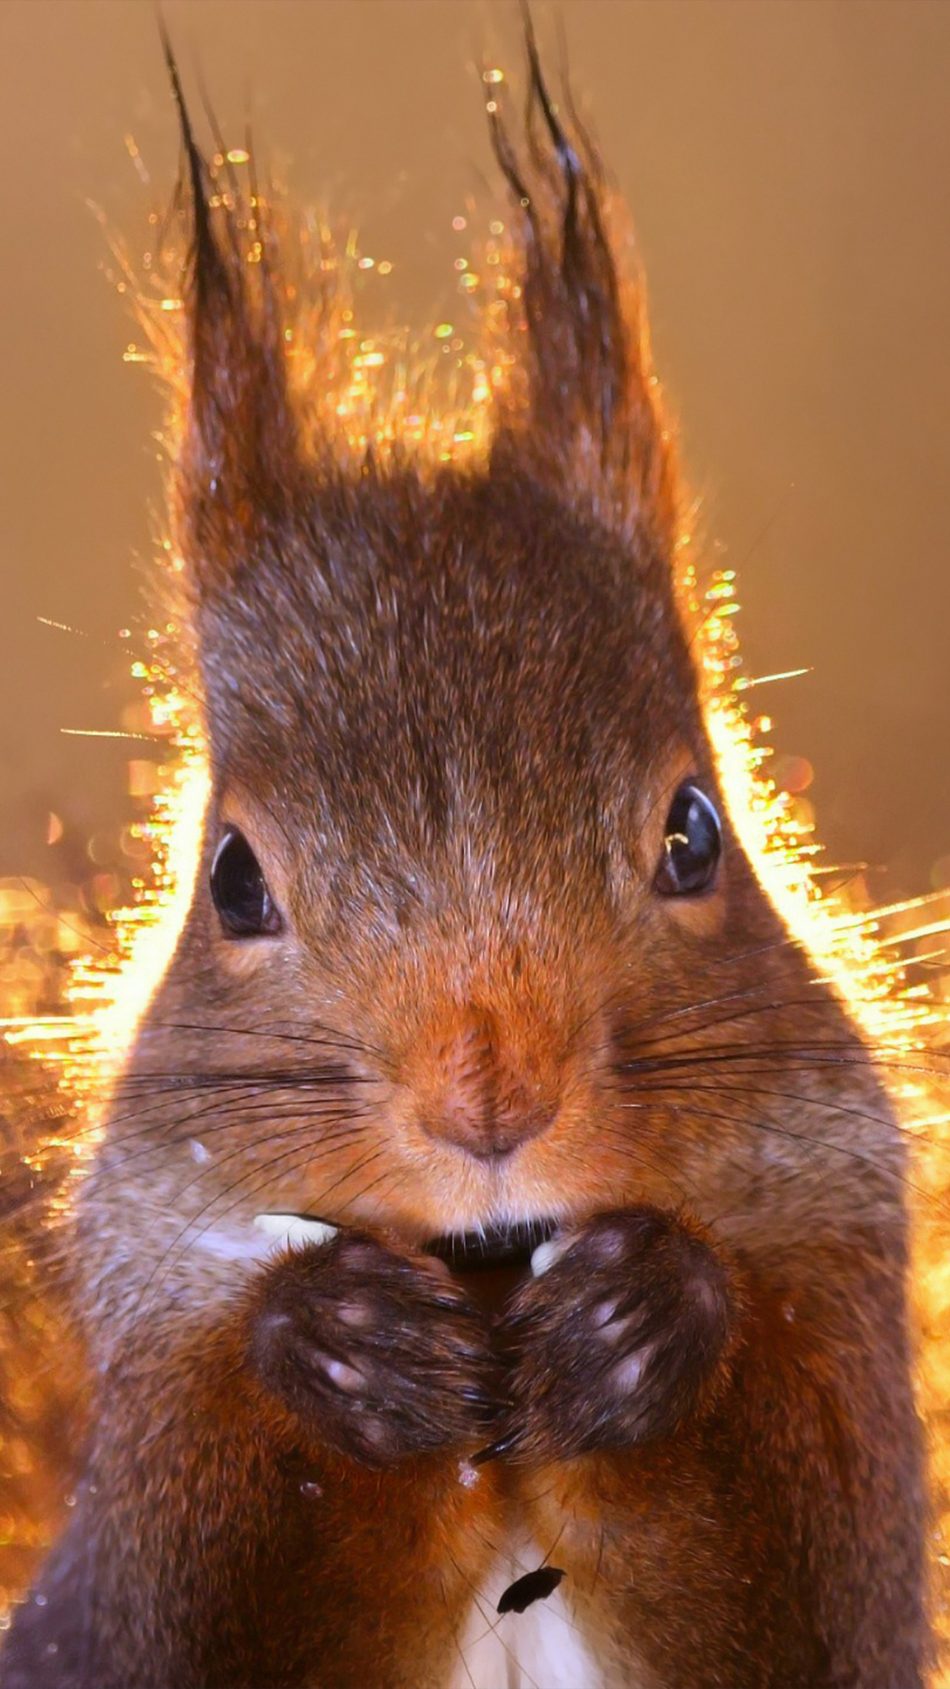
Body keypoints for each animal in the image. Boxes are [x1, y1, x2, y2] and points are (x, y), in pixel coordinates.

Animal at [0, 23, 927, 1689]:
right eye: (231, 878)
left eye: (694, 831)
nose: (488, 1095)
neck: (494, 1268)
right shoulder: (144, 1486)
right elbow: (221, 1593)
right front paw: (339, 1349)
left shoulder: (841, 1320)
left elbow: (794, 1600)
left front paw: (642, 1327)